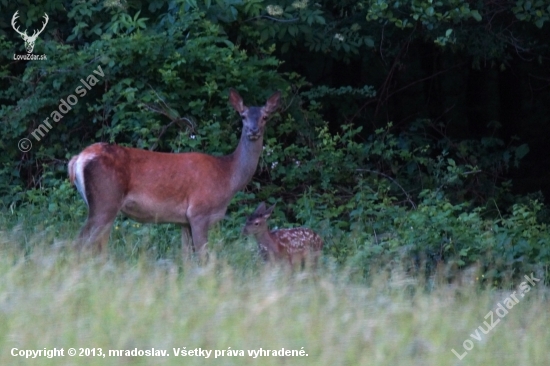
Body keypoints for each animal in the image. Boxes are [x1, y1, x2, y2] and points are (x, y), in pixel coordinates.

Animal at [69, 89, 282, 254]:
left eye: (265, 117)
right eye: (243, 116)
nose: (253, 131)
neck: (228, 176)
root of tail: (78, 159)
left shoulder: (183, 221)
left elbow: (186, 259)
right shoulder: (199, 212)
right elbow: (203, 257)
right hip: (105, 200)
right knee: (79, 243)